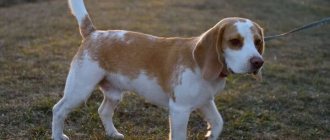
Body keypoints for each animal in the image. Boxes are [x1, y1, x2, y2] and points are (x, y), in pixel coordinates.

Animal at [52, 0, 266, 140]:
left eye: (257, 42)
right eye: (235, 42)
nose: (258, 62)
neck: (200, 63)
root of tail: (94, 33)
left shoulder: (205, 101)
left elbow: (218, 122)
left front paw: (210, 135)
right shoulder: (179, 110)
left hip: (113, 93)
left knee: (103, 111)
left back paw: (112, 133)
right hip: (79, 90)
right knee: (58, 109)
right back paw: (58, 136)